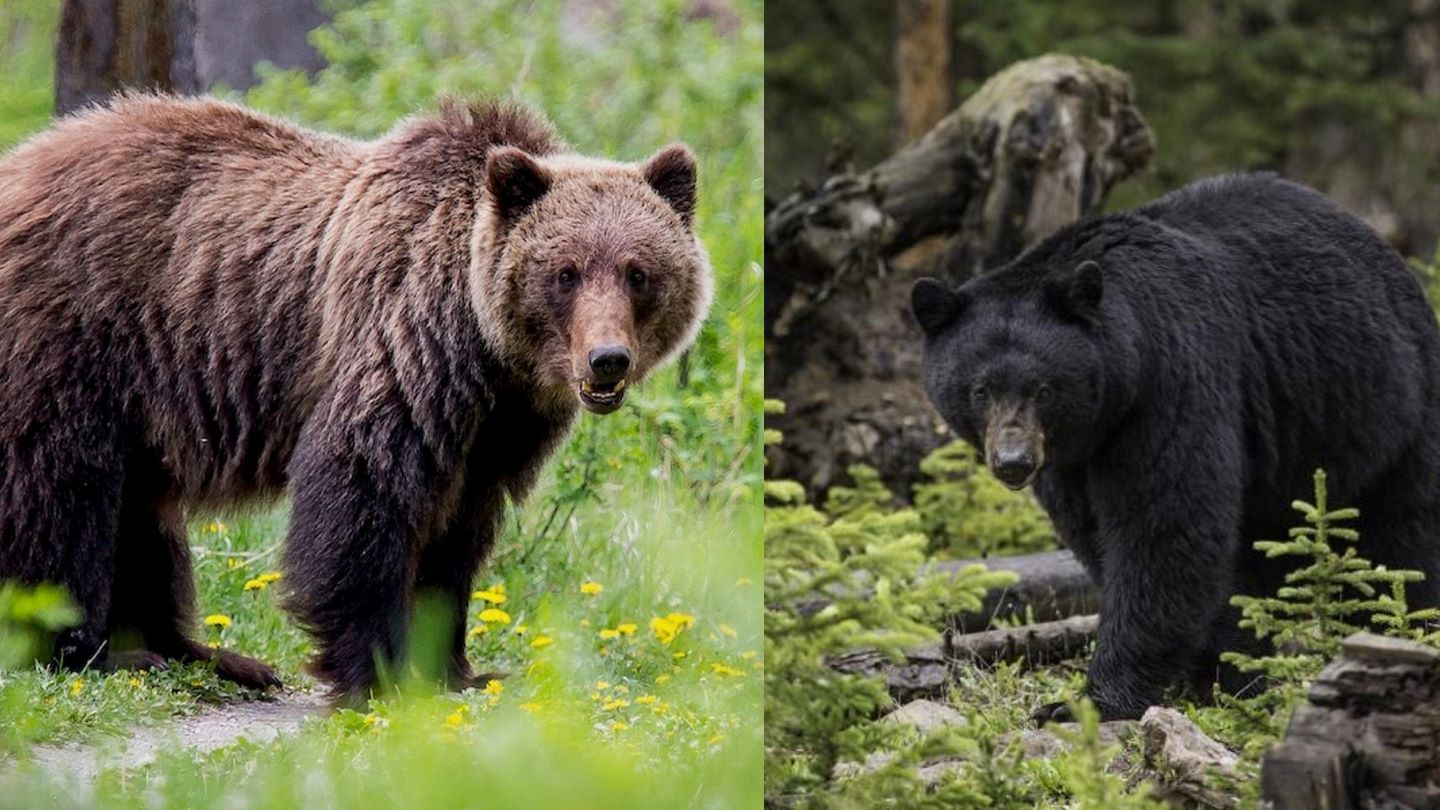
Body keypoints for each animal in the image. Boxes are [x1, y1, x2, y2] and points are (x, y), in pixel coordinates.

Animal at [0, 94, 714, 697]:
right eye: (565, 273)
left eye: (638, 272)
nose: (606, 360)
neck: (487, 350)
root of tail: (21, 162)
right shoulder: (403, 343)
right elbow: (363, 488)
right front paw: (378, 671)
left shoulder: (496, 426)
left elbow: (458, 535)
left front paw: (459, 667)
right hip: (77, 338)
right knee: (61, 493)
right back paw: (83, 649)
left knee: (143, 517)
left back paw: (206, 656)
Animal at [910, 175, 1440, 717]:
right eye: (981, 389)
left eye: (1044, 389)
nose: (1014, 462)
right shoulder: (1072, 459)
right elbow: (1100, 534)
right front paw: (1219, 673)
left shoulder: (1170, 382)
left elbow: (1163, 528)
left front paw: (1096, 699)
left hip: (1389, 406)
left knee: (1404, 537)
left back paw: (1403, 630)